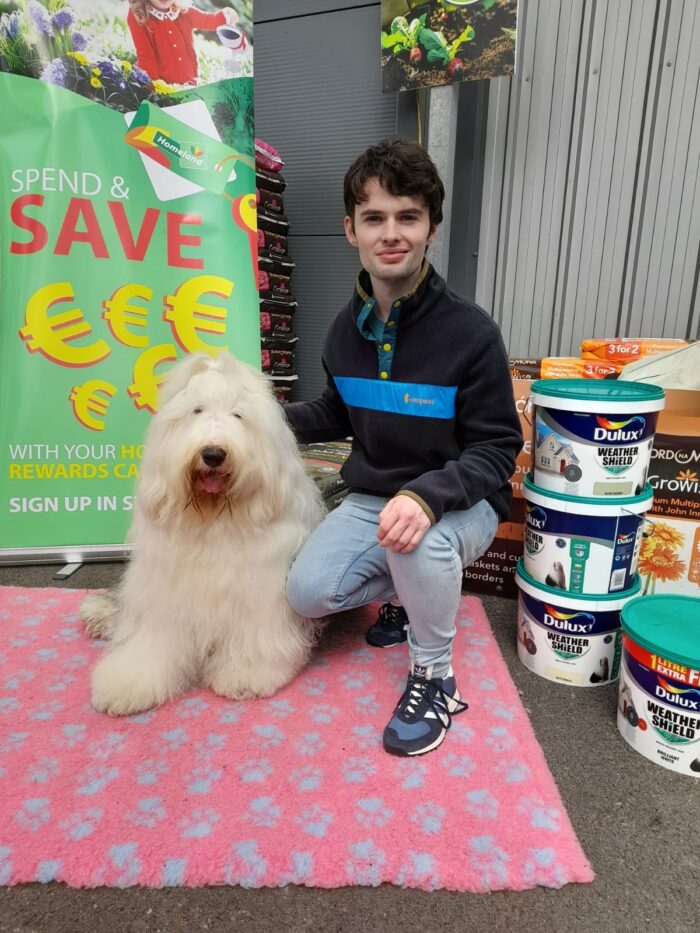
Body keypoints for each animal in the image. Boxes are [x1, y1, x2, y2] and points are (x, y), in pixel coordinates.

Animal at [80, 350, 324, 712]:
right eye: (196, 410)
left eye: (238, 415)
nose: (213, 453)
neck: (213, 518)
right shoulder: (164, 597)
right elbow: (152, 644)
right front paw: (127, 684)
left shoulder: (258, 594)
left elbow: (253, 640)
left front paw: (246, 676)